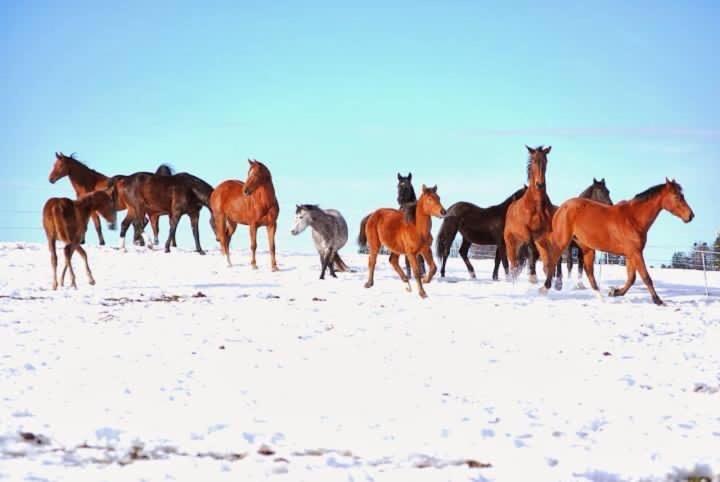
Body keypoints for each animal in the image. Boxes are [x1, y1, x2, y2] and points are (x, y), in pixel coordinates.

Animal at [503, 145, 555, 284]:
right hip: (511, 243)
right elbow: (532, 251)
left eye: (546, 161)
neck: (537, 206)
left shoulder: (544, 234)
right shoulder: (526, 232)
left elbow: (544, 255)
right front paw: (532, 277)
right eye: (533, 162)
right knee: (513, 263)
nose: (540, 184)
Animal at [541, 178, 694, 305]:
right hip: (563, 242)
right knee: (554, 260)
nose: (690, 216)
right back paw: (545, 289)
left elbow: (631, 278)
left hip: (587, 248)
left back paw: (600, 297)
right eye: (677, 196)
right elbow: (645, 277)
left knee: (588, 270)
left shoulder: (631, 254)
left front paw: (614, 292)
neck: (634, 218)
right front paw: (658, 300)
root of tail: (562, 207)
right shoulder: (636, 253)